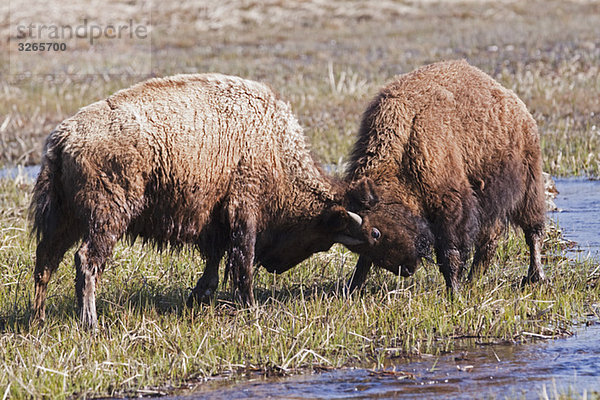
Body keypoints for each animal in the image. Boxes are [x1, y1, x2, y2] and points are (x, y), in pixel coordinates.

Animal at [31, 73, 370, 330]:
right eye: (322, 239)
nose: (275, 266)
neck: (275, 145)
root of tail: (63, 138)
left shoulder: (216, 221)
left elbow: (215, 264)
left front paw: (197, 297)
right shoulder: (243, 210)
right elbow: (241, 263)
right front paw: (251, 308)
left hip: (64, 220)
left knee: (45, 262)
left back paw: (39, 320)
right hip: (106, 218)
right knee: (86, 261)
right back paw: (90, 323)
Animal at [344, 60, 548, 294]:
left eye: (376, 233)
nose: (405, 269)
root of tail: (519, 109)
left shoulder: (449, 205)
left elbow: (450, 253)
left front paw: (454, 292)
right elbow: (363, 262)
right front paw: (352, 287)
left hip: (529, 186)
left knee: (532, 231)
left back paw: (535, 276)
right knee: (490, 238)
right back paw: (473, 280)